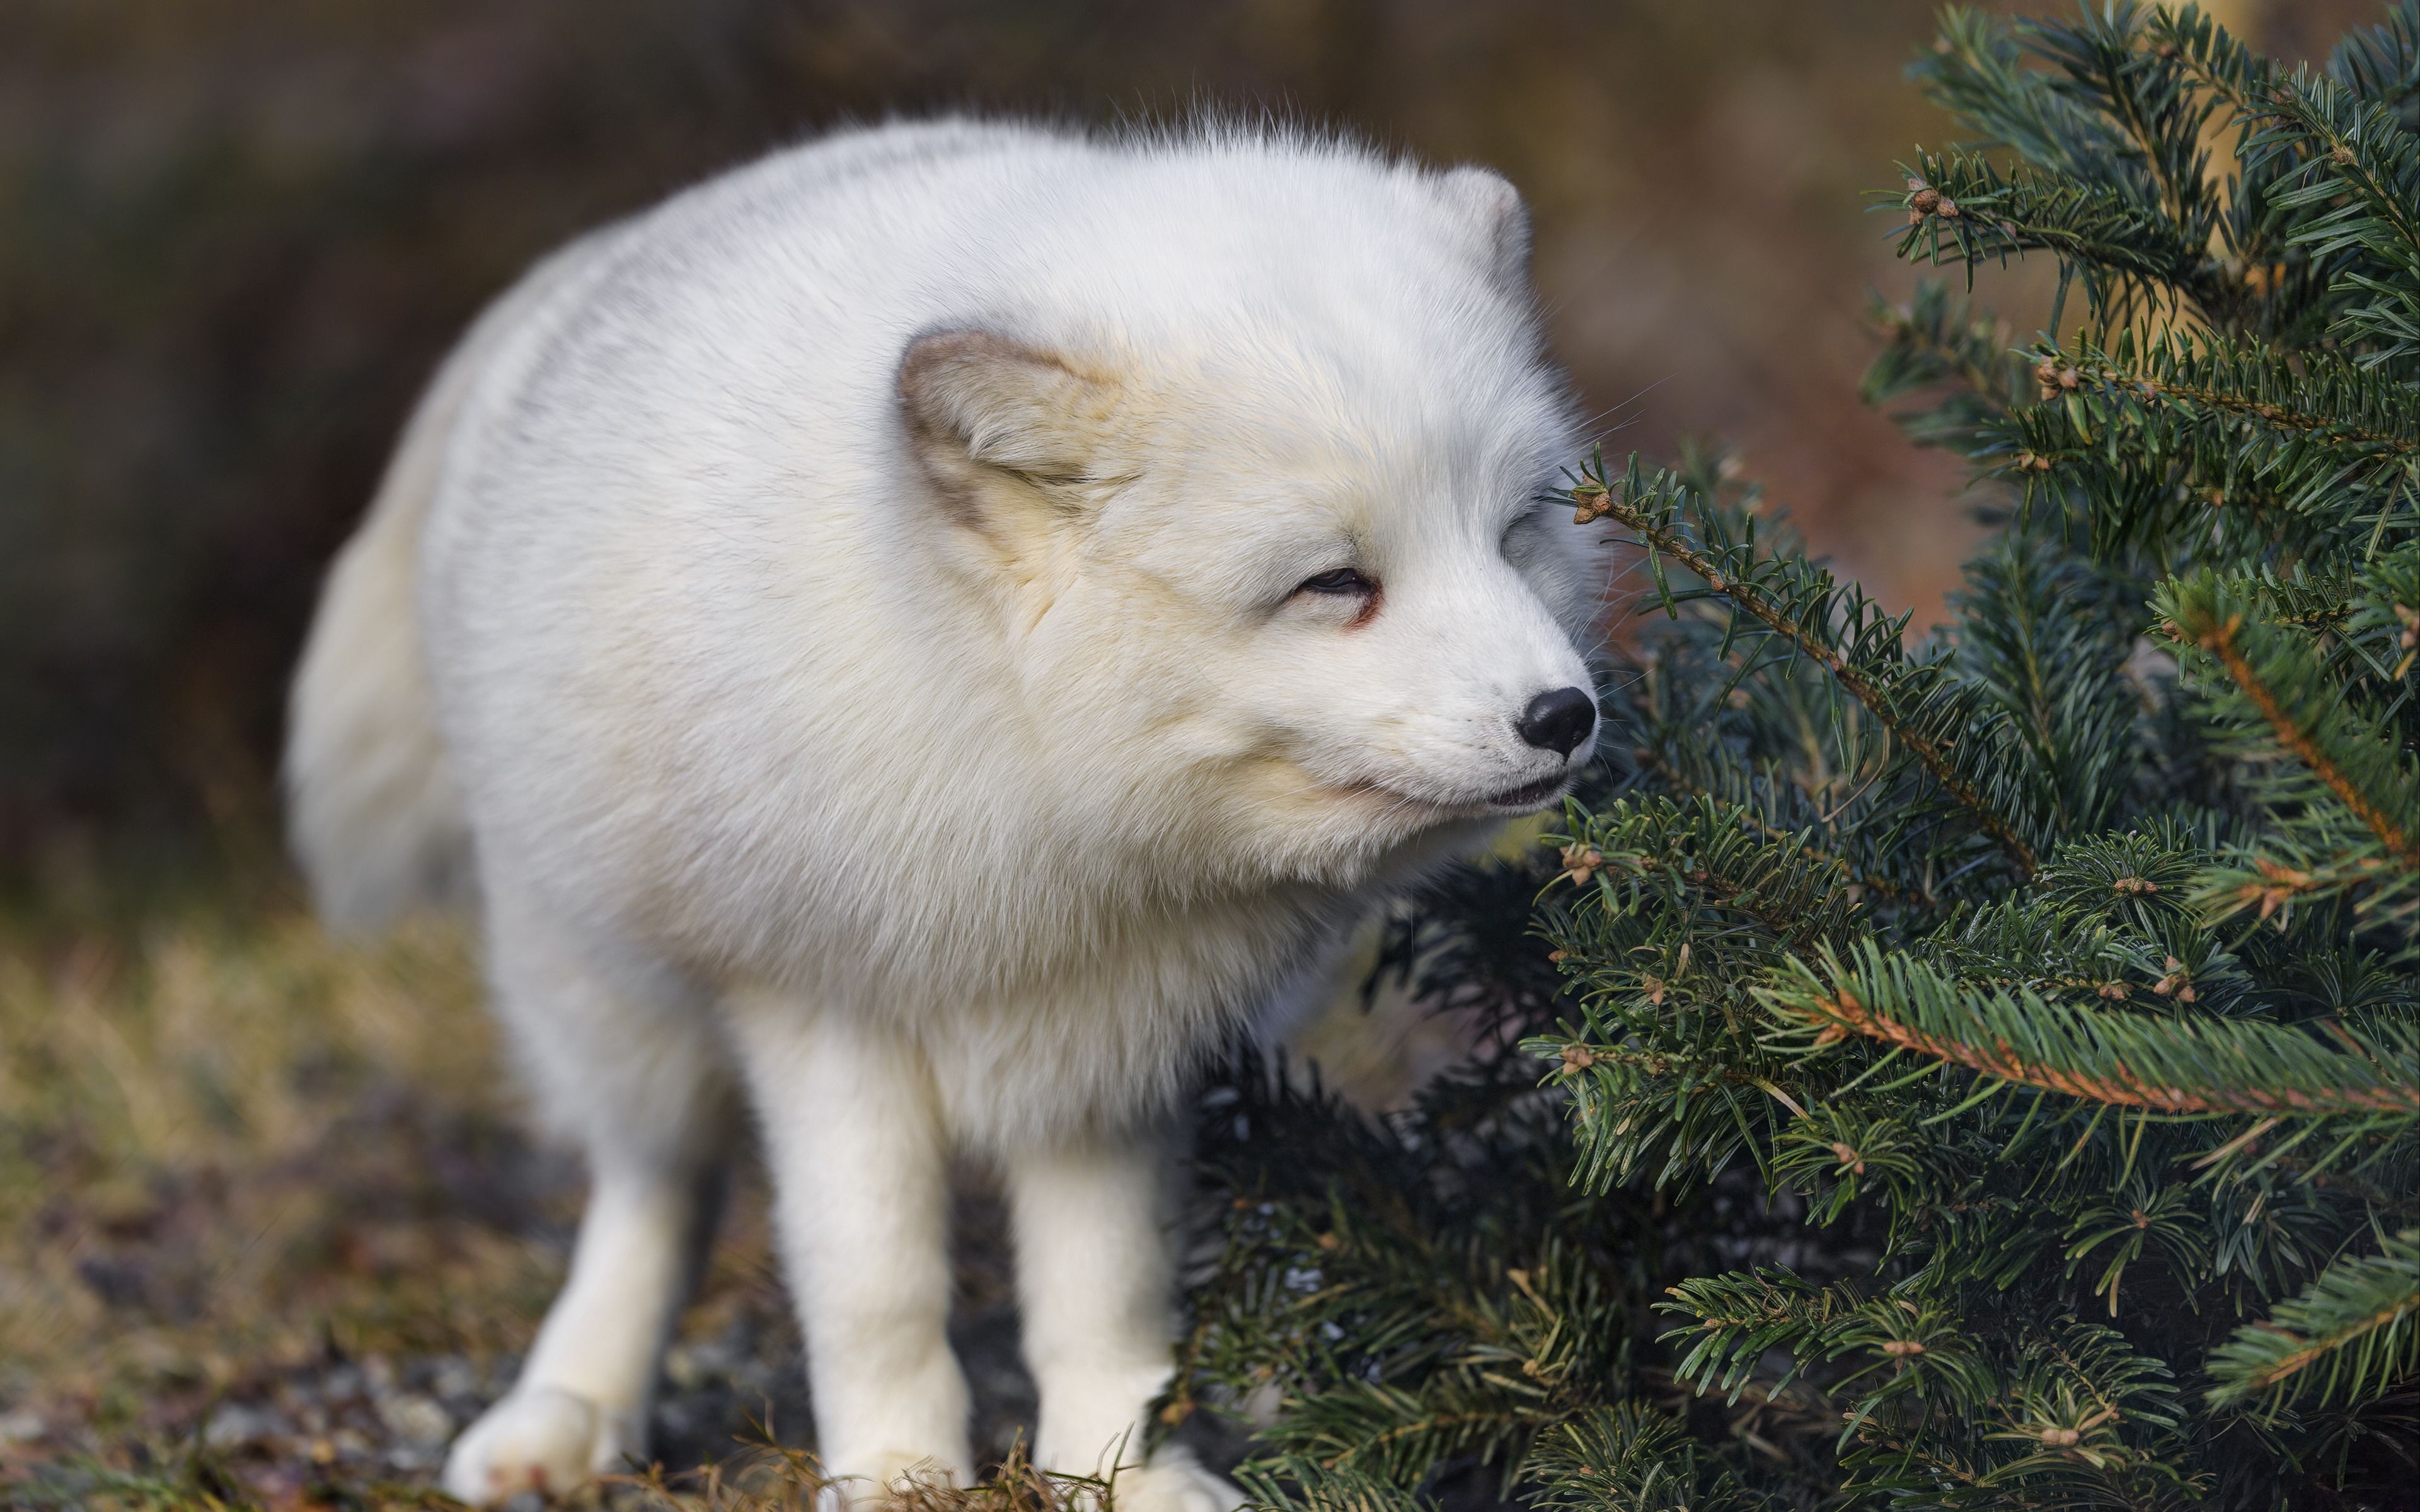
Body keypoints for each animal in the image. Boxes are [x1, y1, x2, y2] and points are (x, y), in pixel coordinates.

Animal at [287, 121, 1606, 1509]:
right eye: (1336, 583)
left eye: (1516, 532)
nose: (1564, 715)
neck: (1040, 807)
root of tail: (607, 255)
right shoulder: (819, 1013)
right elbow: (873, 1289)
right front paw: (897, 1472)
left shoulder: (1113, 1052)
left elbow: (1107, 1296)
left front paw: (1123, 1467)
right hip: (601, 997)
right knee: (653, 1192)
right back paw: (571, 1405)